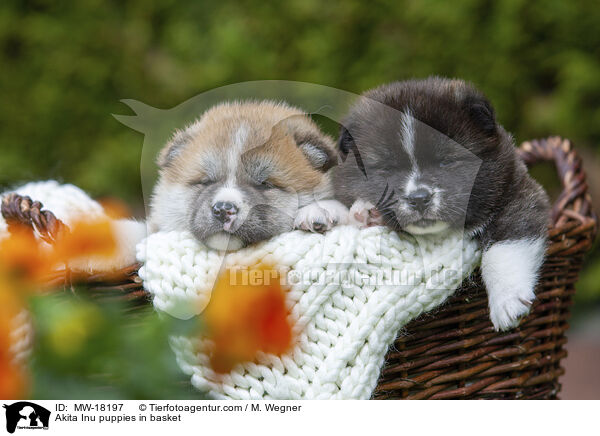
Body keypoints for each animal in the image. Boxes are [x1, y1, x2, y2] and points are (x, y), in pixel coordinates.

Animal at [336, 77, 552, 330]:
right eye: (388, 168)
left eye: (445, 162)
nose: (419, 199)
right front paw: (367, 212)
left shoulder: (516, 194)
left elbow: (504, 246)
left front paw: (507, 301)